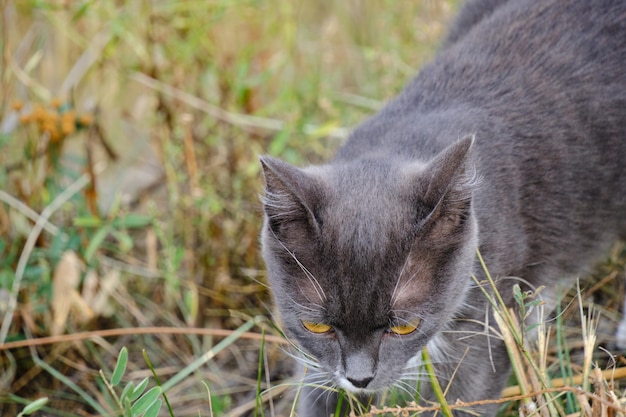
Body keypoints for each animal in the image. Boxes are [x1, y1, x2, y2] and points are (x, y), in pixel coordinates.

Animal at [258, 1, 624, 414]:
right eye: (316, 326)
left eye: (405, 326)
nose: (360, 379)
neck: (403, 141)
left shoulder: (488, 305)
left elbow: (467, 391)